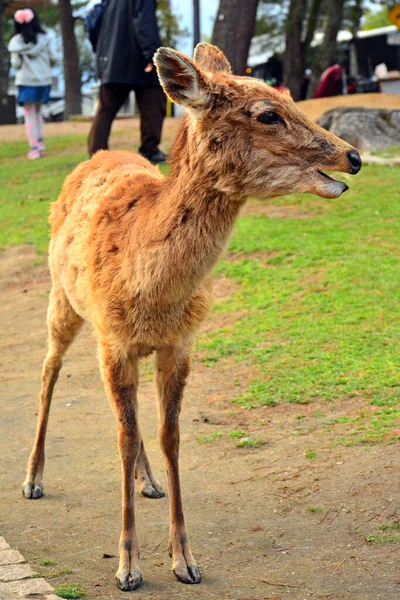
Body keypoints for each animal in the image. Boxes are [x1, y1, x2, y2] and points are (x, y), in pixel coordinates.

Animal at [22, 43, 362, 592]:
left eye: (290, 95)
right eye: (267, 114)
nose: (352, 156)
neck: (153, 290)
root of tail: (94, 157)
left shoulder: (179, 342)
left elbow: (168, 435)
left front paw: (184, 558)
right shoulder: (114, 340)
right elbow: (123, 437)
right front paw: (128, 567)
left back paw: (149, 483)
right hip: (63, 298)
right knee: (49, 370)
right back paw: (32, 478)